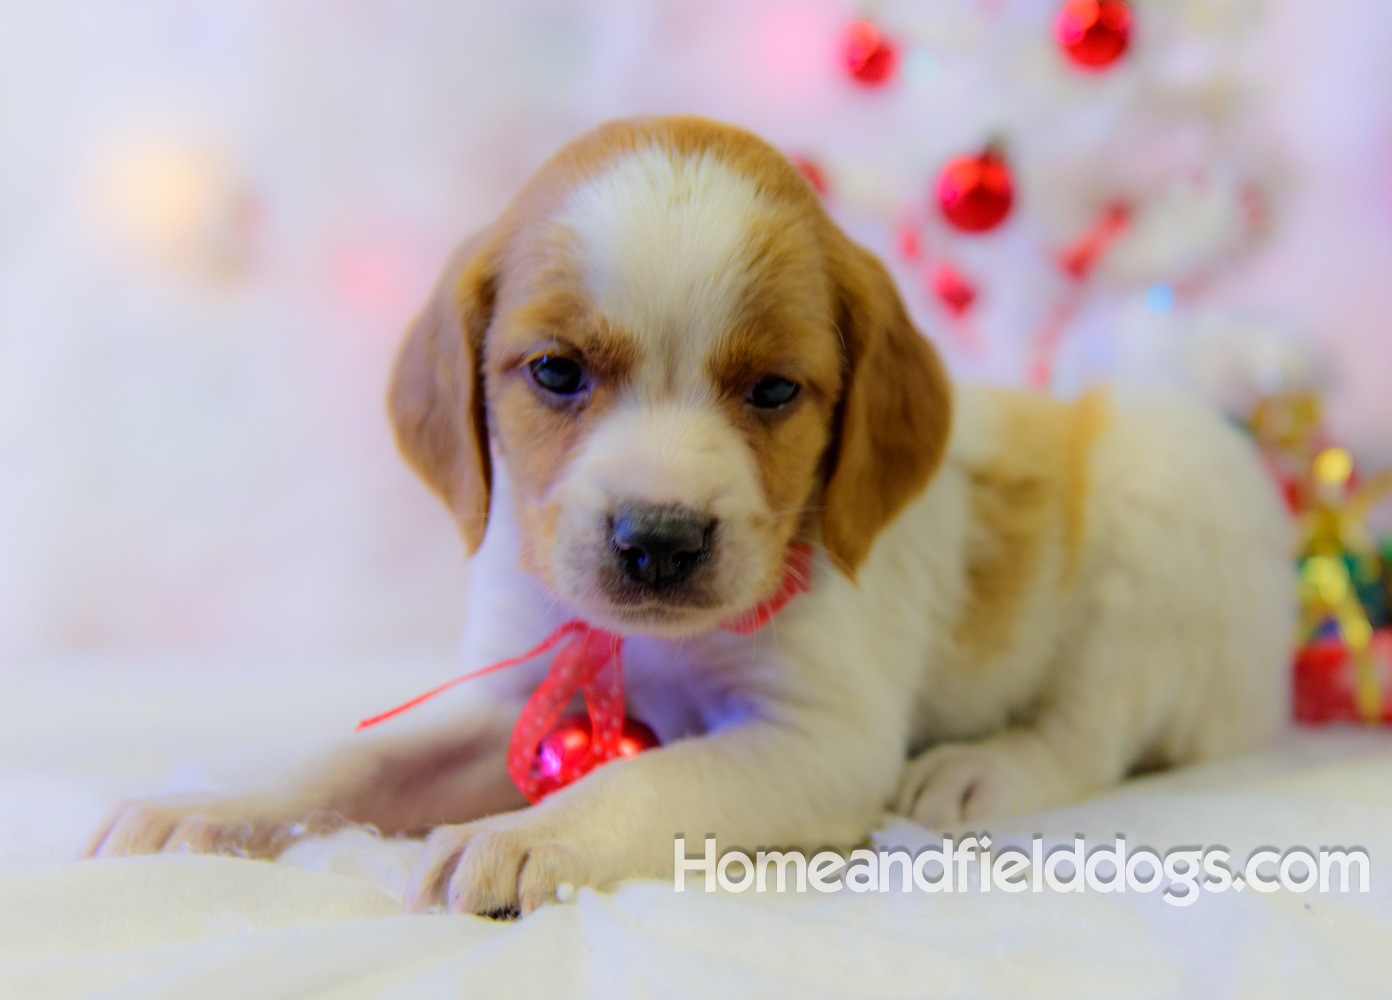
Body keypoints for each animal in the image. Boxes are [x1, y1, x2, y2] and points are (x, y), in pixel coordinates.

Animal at [89, 115, 1291, 919]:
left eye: (773, 391)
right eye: (557, 371)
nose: (657, 539)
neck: (653, 647)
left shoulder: (820, 742)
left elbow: (650, 774)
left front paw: (525, 835)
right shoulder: (521, 692)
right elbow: (350, 764)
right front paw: (210, 809)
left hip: (1165, 489)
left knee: (1096, 728)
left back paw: (982, 770)